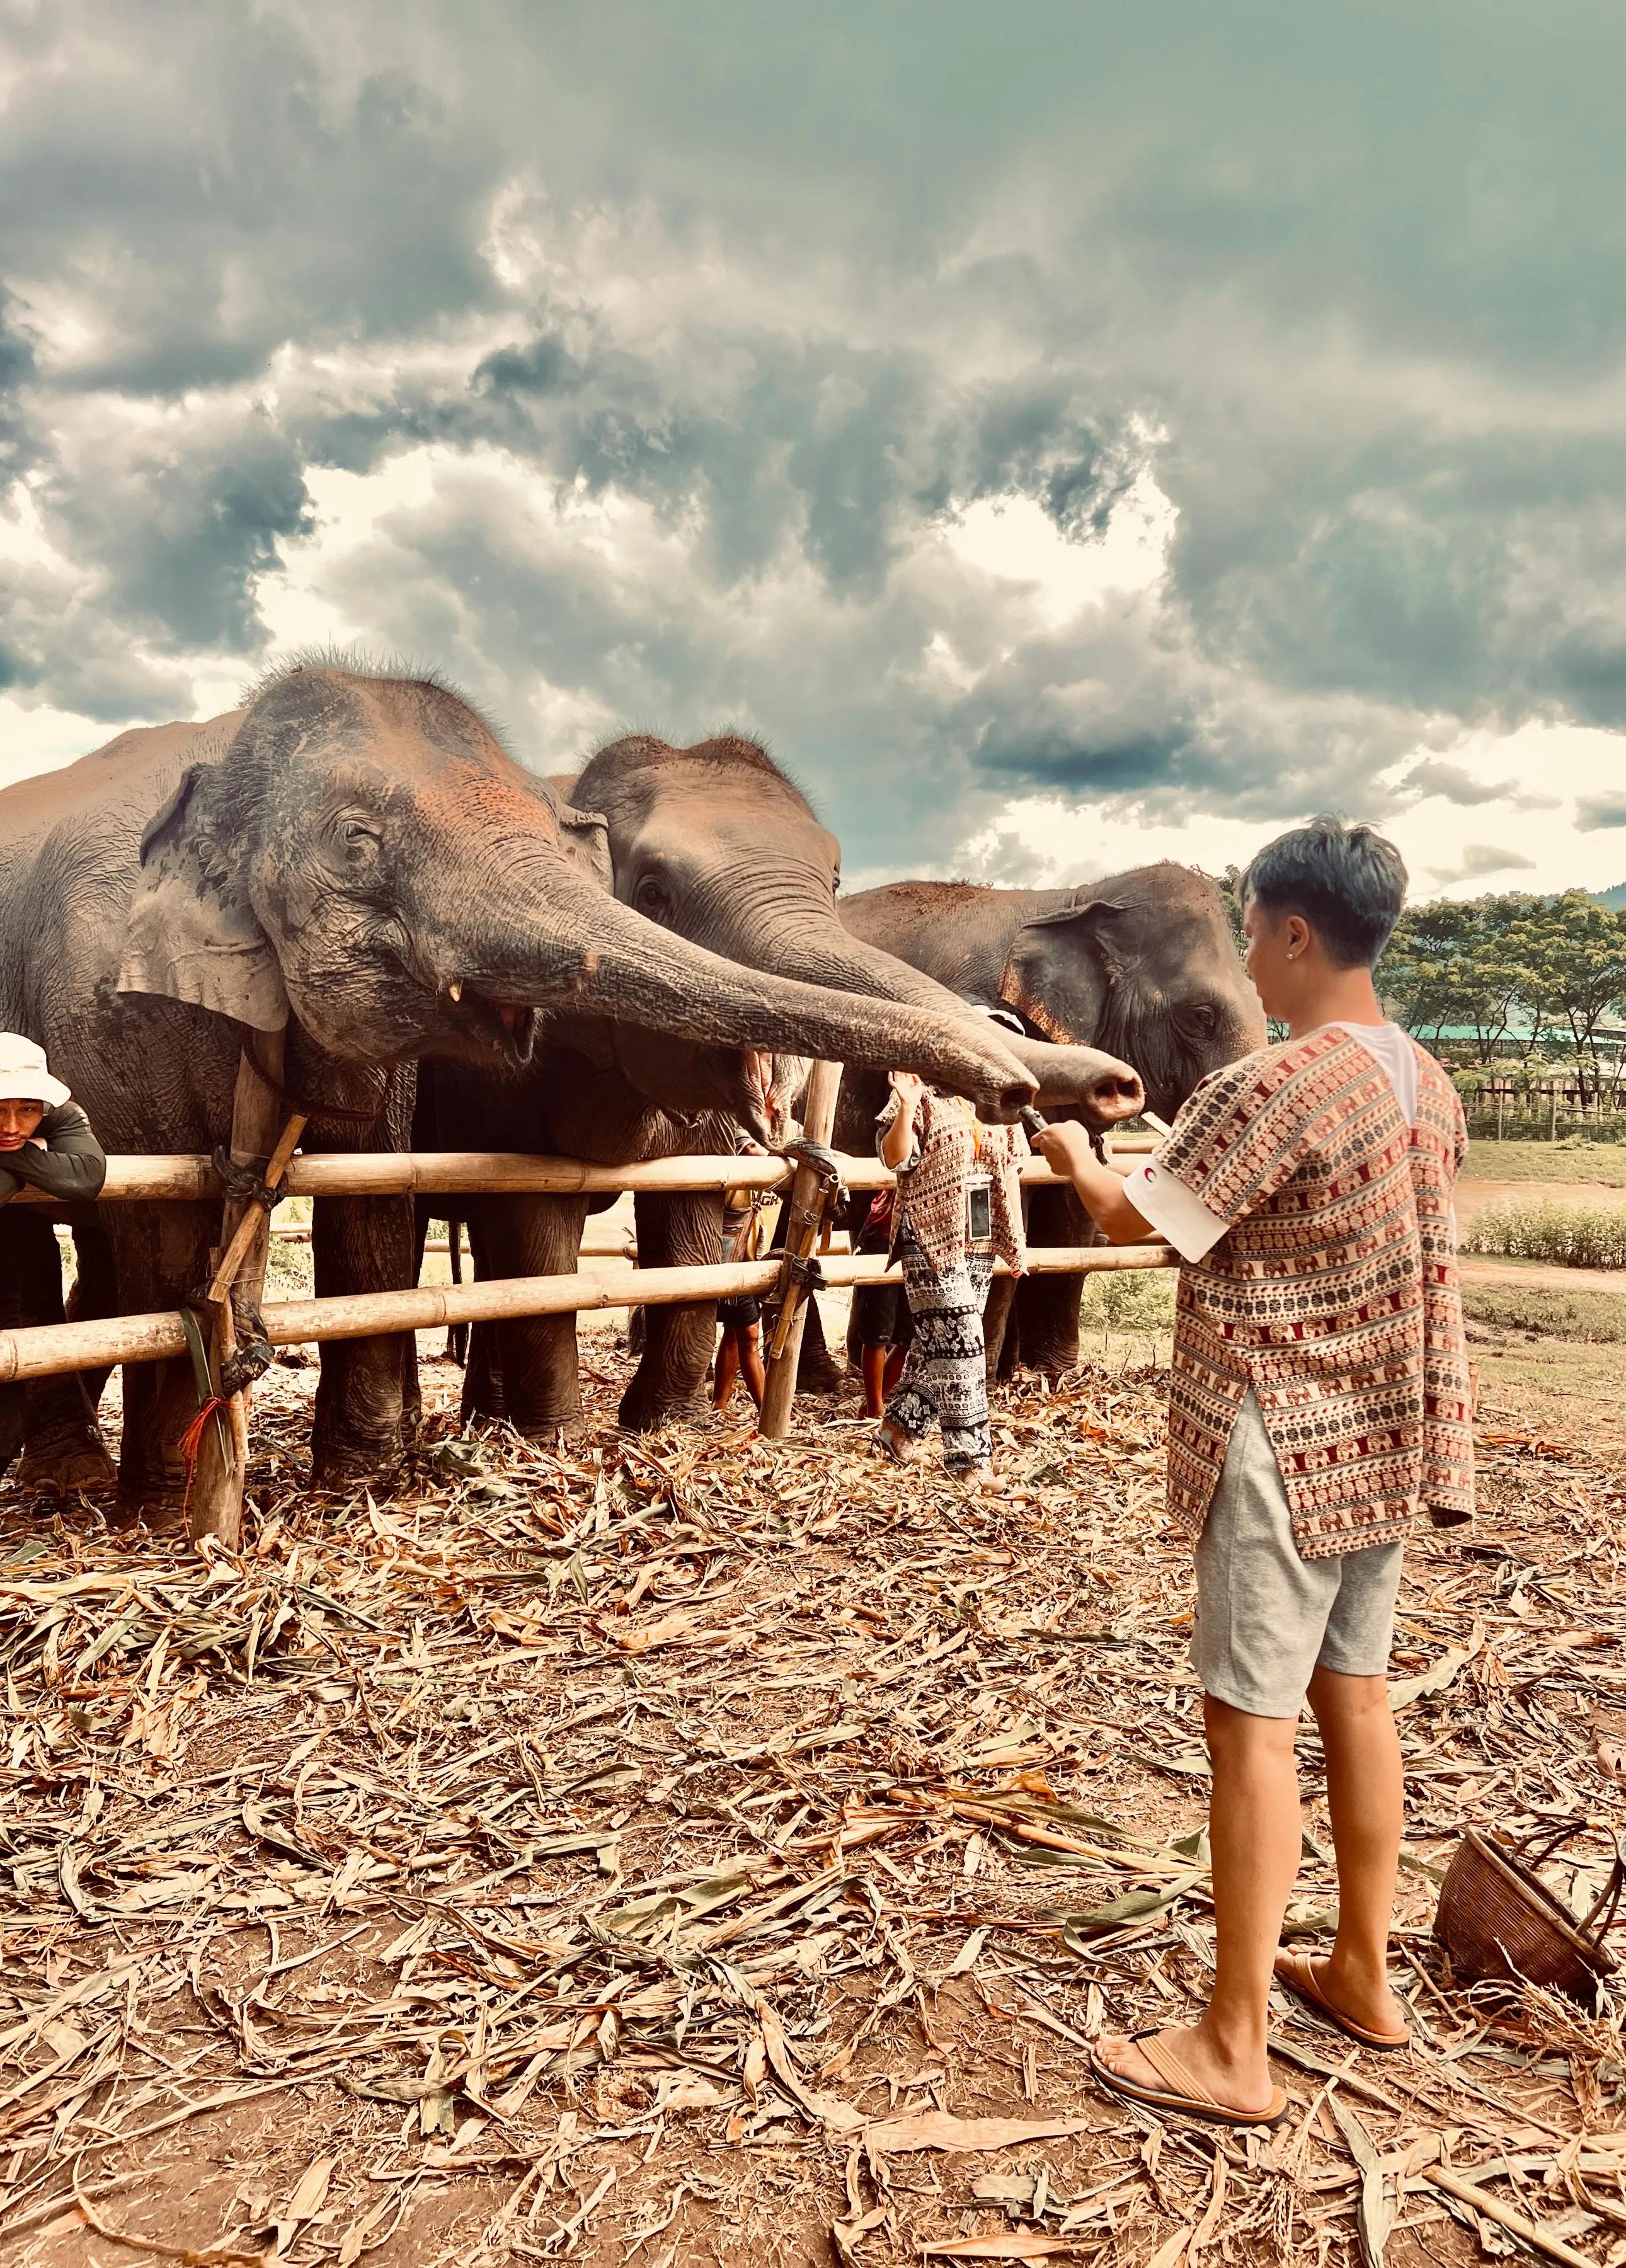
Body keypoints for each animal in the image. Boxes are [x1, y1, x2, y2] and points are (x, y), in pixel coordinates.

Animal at [430, 730, 1143, 1433]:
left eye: (834, 877)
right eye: (653, 891)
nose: (1117, 1088)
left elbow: (691, 1226)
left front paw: (663, 1425)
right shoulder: (508, 1074)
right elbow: (533, 1217)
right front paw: (554, 1438)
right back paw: (492, 1425)